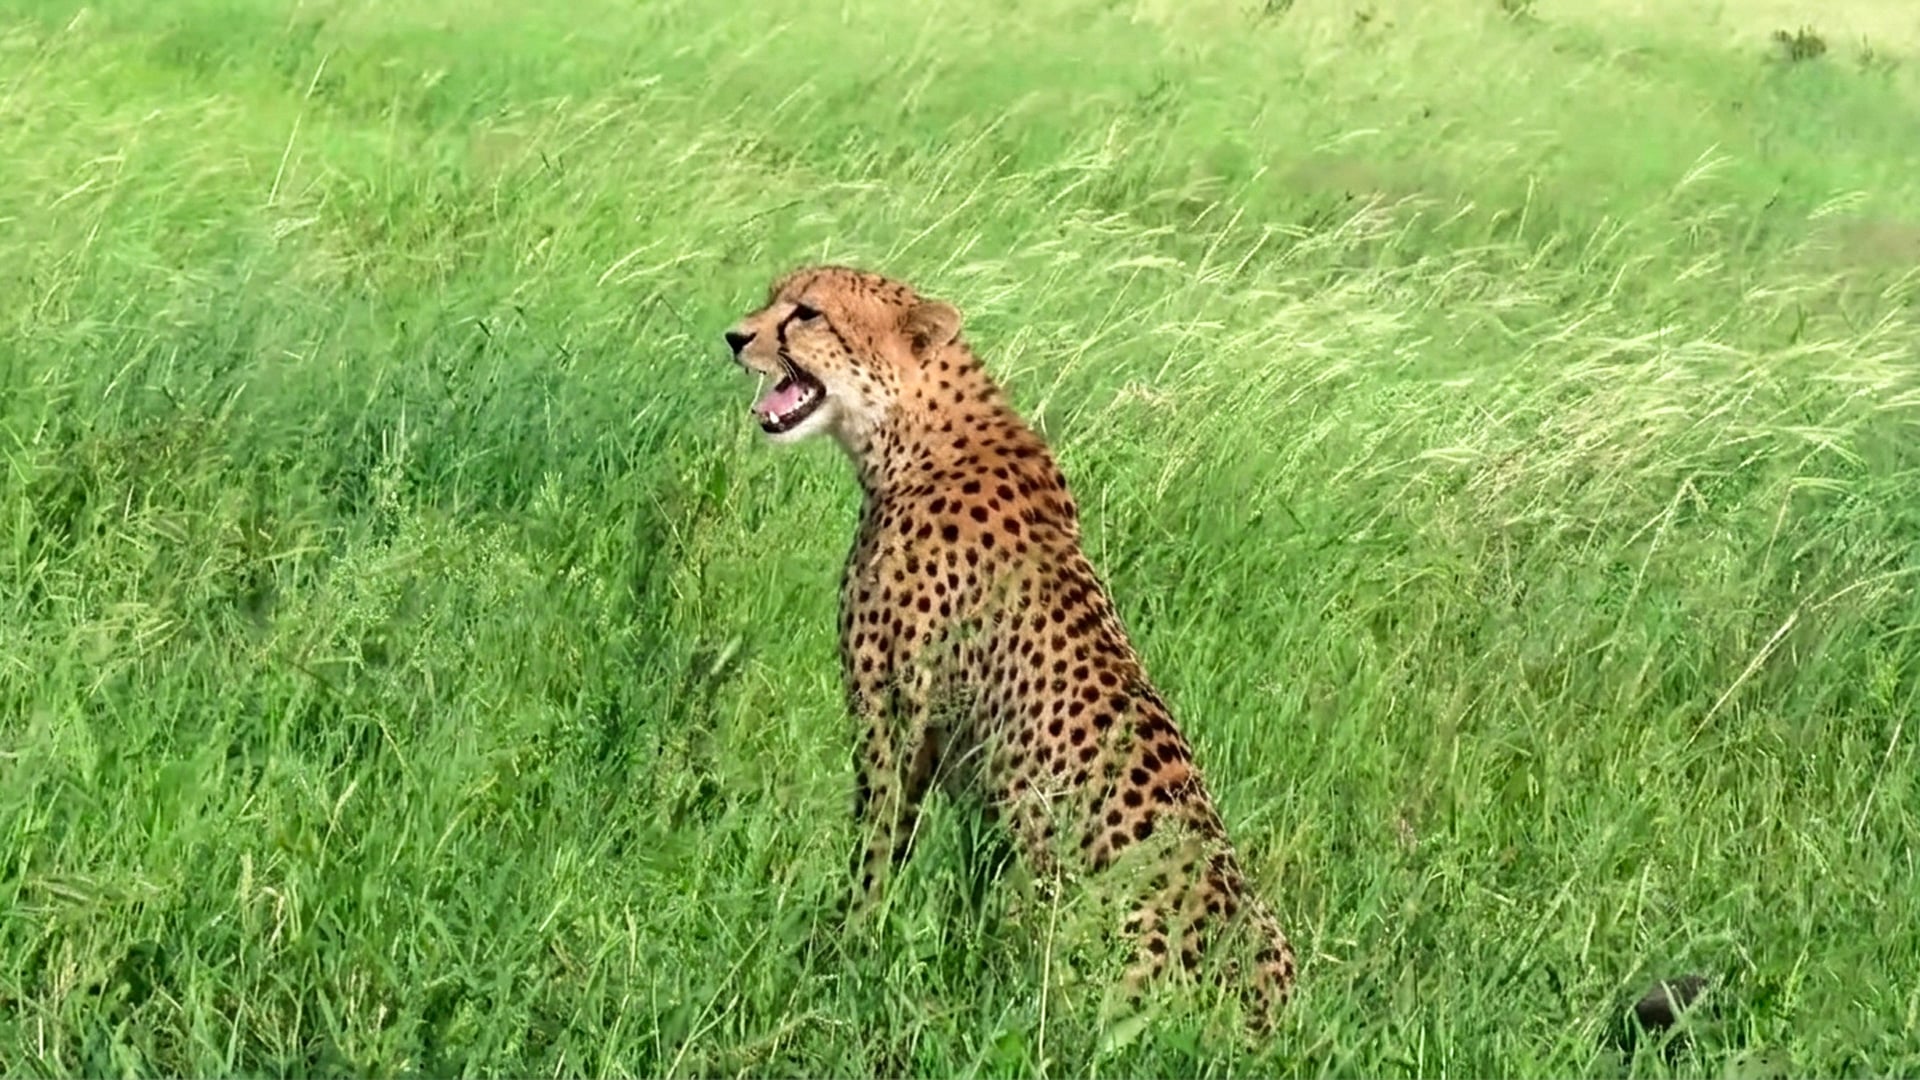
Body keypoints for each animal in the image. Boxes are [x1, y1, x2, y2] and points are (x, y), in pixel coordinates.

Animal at [721, 264, 1297, 1029]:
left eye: (807, 313)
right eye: (773, 296)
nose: (735, 337)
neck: (911, 432)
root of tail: (1262, 1014)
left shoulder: (891, 715)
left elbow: (875, 844)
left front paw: (846, 943)